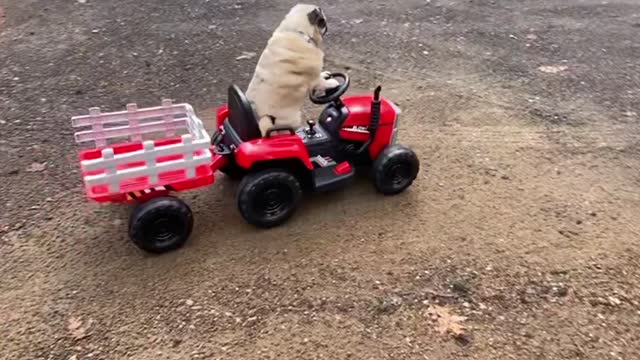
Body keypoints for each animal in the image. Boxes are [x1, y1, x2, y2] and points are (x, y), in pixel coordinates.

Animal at [245, 3, 340, 136]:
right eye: (322, 20)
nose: (320, 8)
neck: (298, 32)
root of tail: (263, 117)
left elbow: (321, 76)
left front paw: (325, 74)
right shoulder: (313, 78)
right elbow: (321, 82)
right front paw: (331, 82)